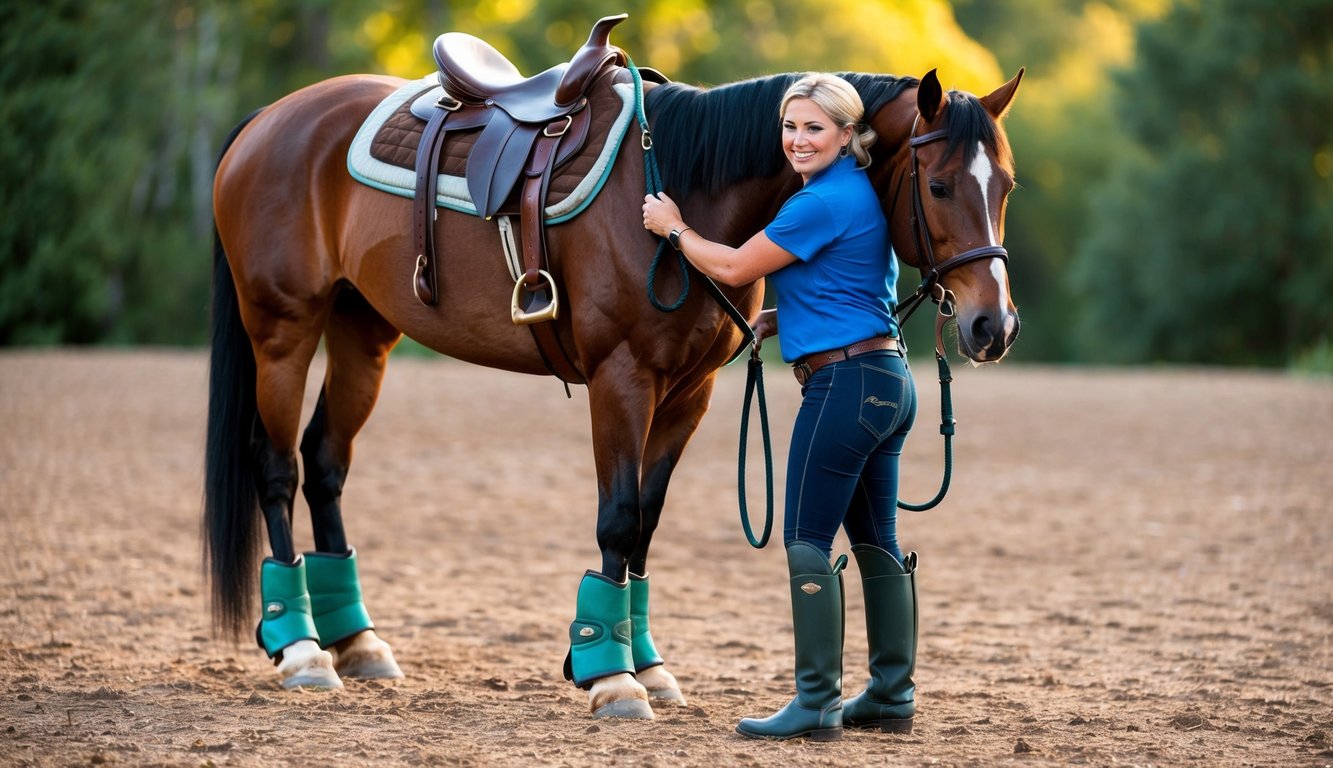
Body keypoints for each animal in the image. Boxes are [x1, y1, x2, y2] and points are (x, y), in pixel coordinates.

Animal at [205, 22, 1018, 720]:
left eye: (1005, 185)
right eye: (940, 185)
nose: (994, 326)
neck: (686, 187)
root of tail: (271, 118)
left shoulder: (687, 393)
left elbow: (646, 522)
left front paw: (645, 664)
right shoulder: (621, 381)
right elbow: (619, 516)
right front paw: (610, 676)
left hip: (362, 333)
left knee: (325, 463)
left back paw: (358, 642)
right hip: (283, 330)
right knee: (276, 465)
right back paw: (301, 649)